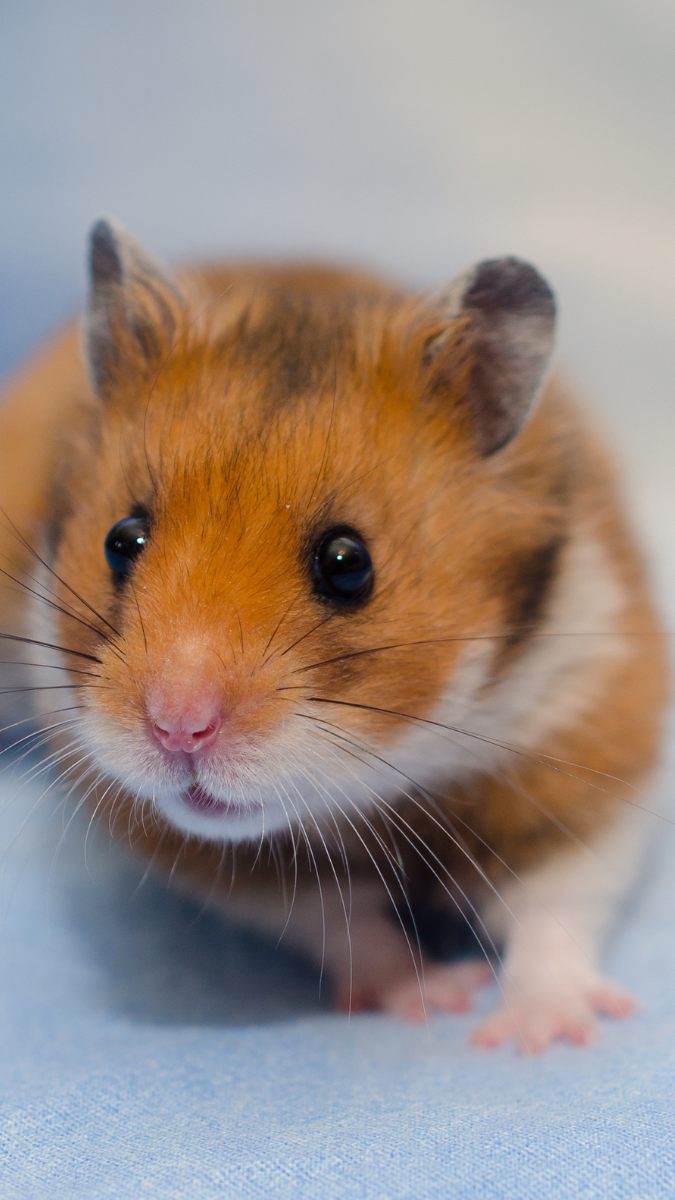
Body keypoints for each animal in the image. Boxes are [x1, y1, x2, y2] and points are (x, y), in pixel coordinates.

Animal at [0, 218, 668, 1052]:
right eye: (121, 540)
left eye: (348, 563)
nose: (177, 729)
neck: (398, 770)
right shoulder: (217, 854)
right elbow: (344, 922)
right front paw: (434, 998)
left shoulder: (589, 741)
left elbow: (555, 901)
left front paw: (534, 1037)